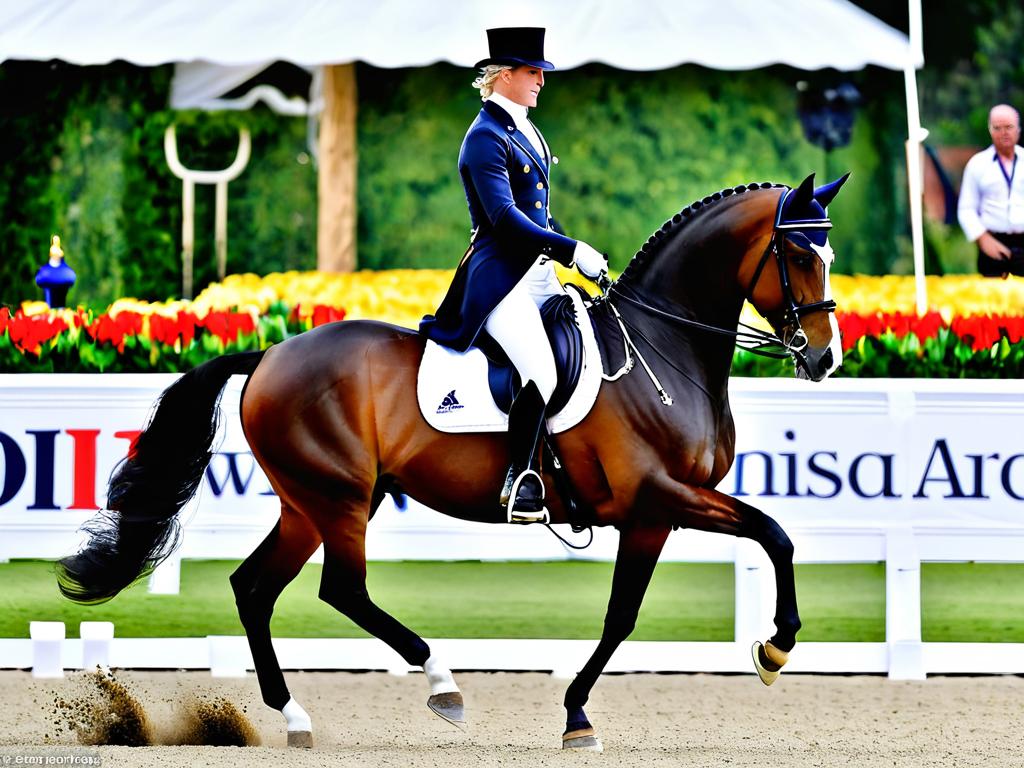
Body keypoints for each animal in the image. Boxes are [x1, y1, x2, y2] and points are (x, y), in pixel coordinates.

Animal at [59, 173, 851, 753]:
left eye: (829, 256)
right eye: (798, 257)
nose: (824, 360)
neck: (664, 348)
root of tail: (271, 354)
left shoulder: (656, 513)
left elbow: (639, 607)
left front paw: (585, 713)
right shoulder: (659, 497)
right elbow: (769, 538)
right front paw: (774, 649)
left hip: (311, 502)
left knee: (254, 588)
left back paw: (294, 719)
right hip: (339, 497)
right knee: (342, 589)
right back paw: (442, 686)